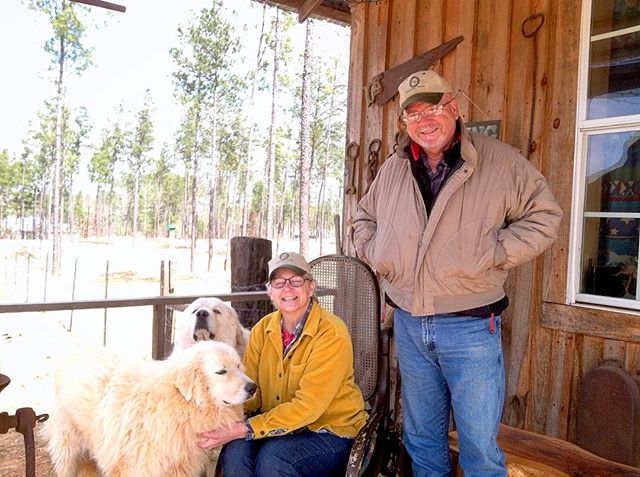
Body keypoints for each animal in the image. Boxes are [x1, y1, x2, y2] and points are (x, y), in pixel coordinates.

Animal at [42, 340, 258, 476]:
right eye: (221, 371)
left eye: (239, 366)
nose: (253, 387)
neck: (180, 404)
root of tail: (74, 352)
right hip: (68, 451)